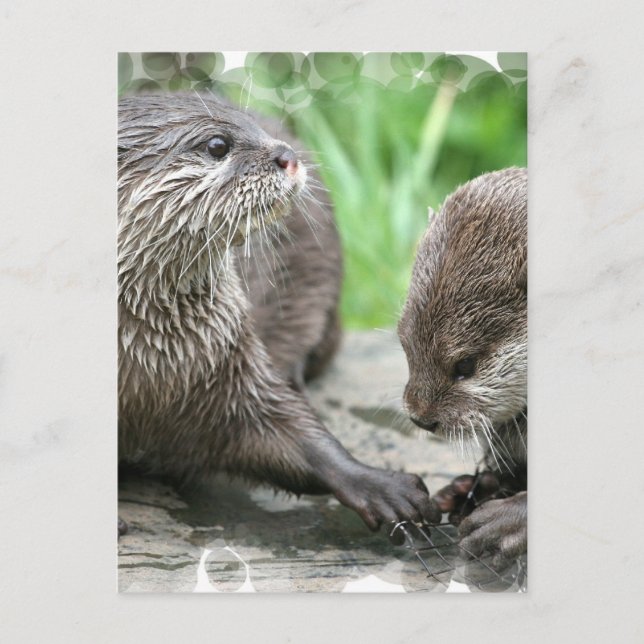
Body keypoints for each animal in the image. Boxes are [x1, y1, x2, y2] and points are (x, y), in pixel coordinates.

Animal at [118, 92, 438, 532]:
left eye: (250, 125)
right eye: (217, 145)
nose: (287, 156)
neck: (151, 366)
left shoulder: (229, 362)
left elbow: (292, 433)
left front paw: (381, 486)